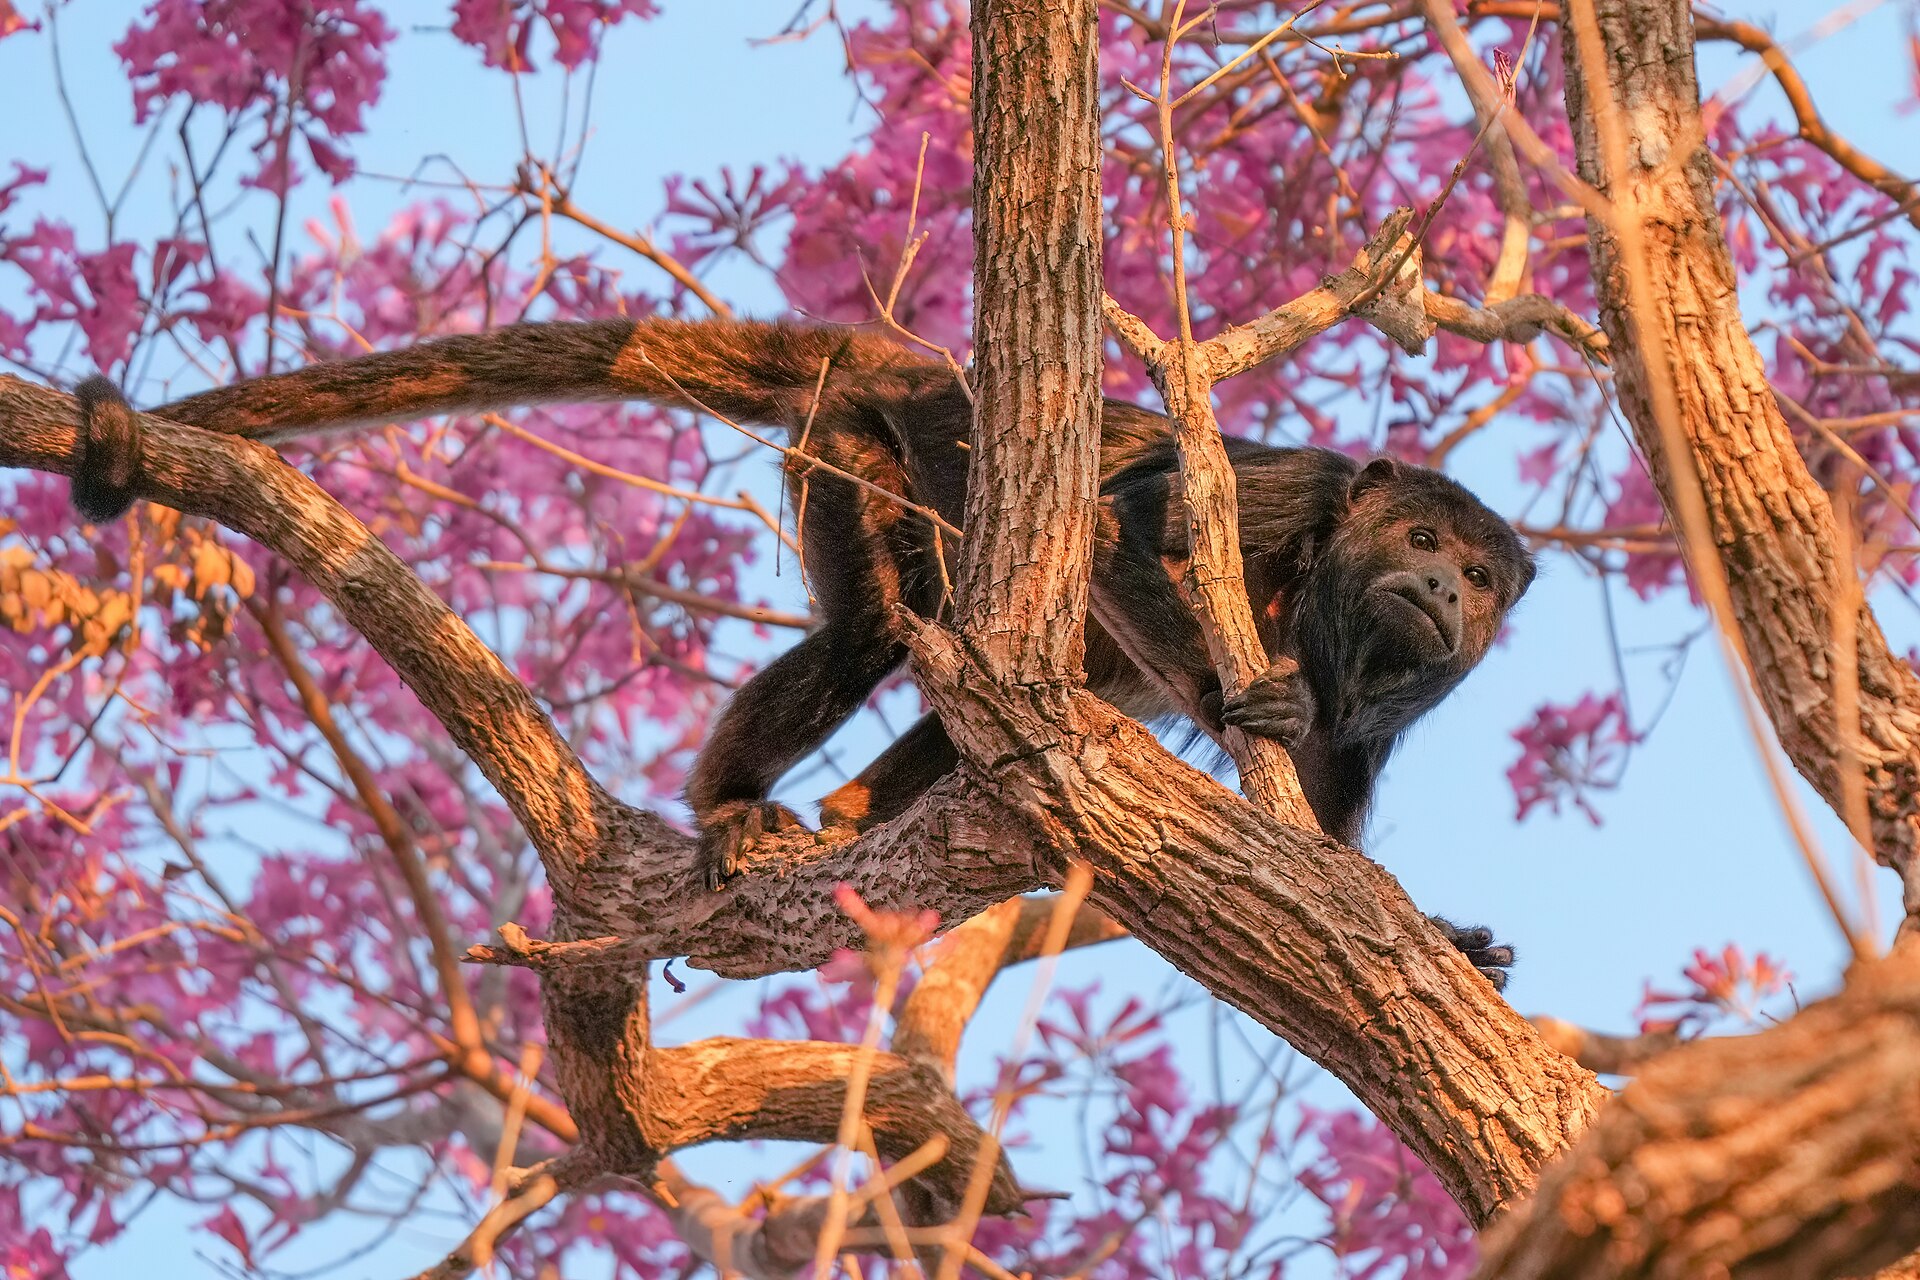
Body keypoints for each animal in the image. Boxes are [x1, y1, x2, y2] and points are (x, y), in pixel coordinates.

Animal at [65, 317, 1531, 988]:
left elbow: (1333, 853)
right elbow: (1125, 529)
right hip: (853, 444)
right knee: (871, 630)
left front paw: (1448, 941)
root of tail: (912, 366)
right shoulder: (1296, 491)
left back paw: (849, 816)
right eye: (1417, 535)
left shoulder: (1373, 718)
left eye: (1476, 578)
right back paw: (736, 809)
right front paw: (1238, 703)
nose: (1437, 592)